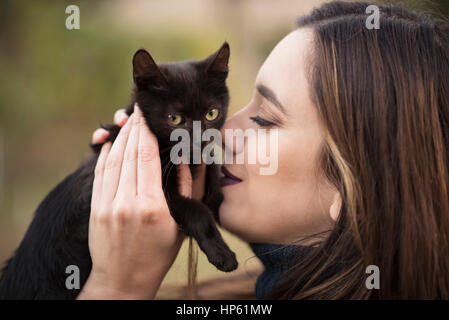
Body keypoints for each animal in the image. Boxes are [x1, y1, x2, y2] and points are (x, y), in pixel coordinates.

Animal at [0, 42, 238, 300]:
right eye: (174, 119)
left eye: (211, 113)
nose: (198, 141)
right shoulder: (162, 195)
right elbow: (197, 212)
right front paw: (223, 254)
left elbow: (215, 186)